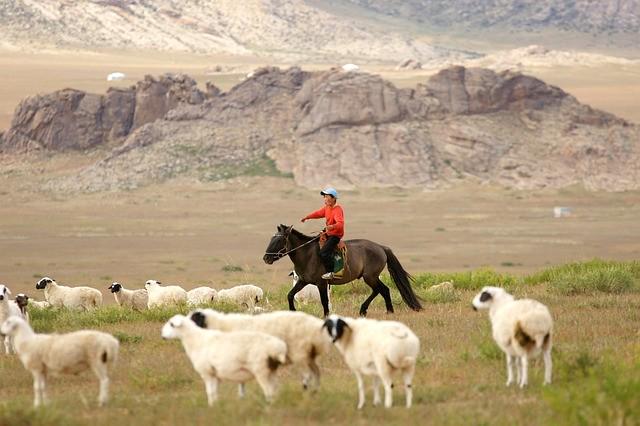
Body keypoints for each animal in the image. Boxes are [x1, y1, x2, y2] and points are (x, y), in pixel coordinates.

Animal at [189, 308, 331, 390]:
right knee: (316, 373)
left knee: (309, 374)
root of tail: (315, 327)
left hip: (300, 353)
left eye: (194, 320)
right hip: (308, 355)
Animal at [263, 224, 422, 317]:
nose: (266, 258)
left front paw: (326, 317)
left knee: (381, 290)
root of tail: (381, 247)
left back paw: (373, 310)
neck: (307, 254)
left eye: (278, 241)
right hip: (371, 277)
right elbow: (290, 295)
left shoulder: (321, 283)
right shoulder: (302, 281)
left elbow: (324, 301)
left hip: (370, 277)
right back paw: (384, 311)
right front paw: (292, 312)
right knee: (383, 290)